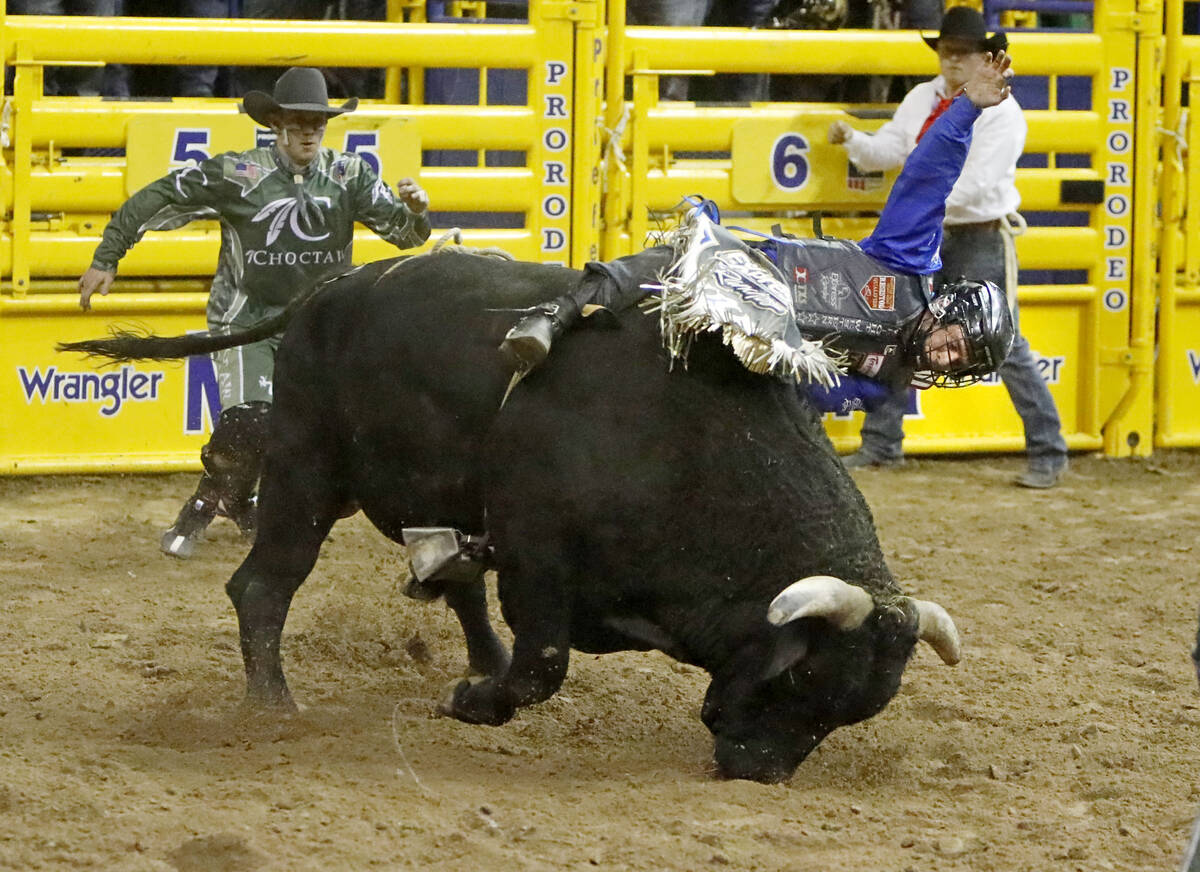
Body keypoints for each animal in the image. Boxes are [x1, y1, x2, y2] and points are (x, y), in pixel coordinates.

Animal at [63, 251, 964, 786]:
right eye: (805, 676)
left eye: (851, 708)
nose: (759, 771)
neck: (686, 439)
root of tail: (330, 291)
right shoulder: (538, 555)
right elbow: (542, 664)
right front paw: (475, 702)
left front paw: (478, 681)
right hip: (307, 473)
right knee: (261, 584)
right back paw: (273, 705)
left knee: (447, 577)